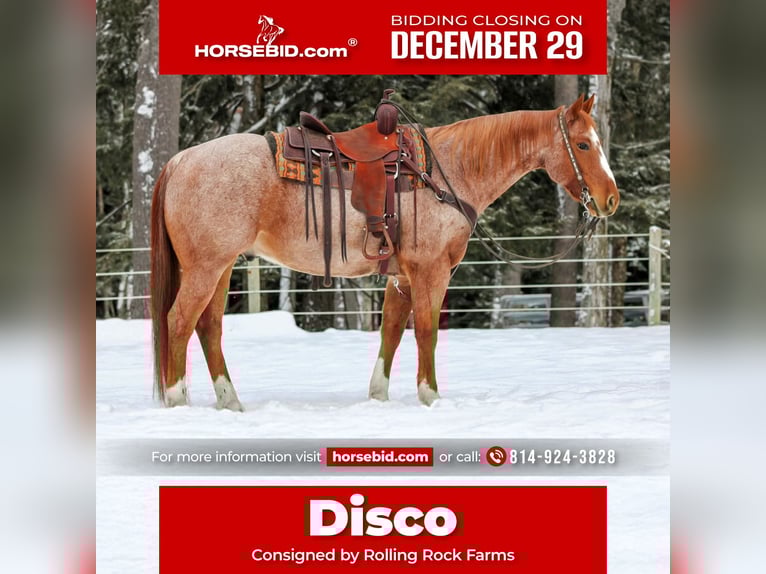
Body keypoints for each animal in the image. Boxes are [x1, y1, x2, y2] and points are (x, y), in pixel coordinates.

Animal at [149, 94, 619, 410]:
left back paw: (230, 402)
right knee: (179, 321)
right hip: (206, 267)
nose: (610, 200)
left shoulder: (401, 276)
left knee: (208, 327)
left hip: (222, 266)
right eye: (583, 145)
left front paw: (378, 395)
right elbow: (426, 331)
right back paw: (176, 399)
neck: (447, 173)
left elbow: (390, 332)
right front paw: (431, 396)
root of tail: (180, 161)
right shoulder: (431, 271)